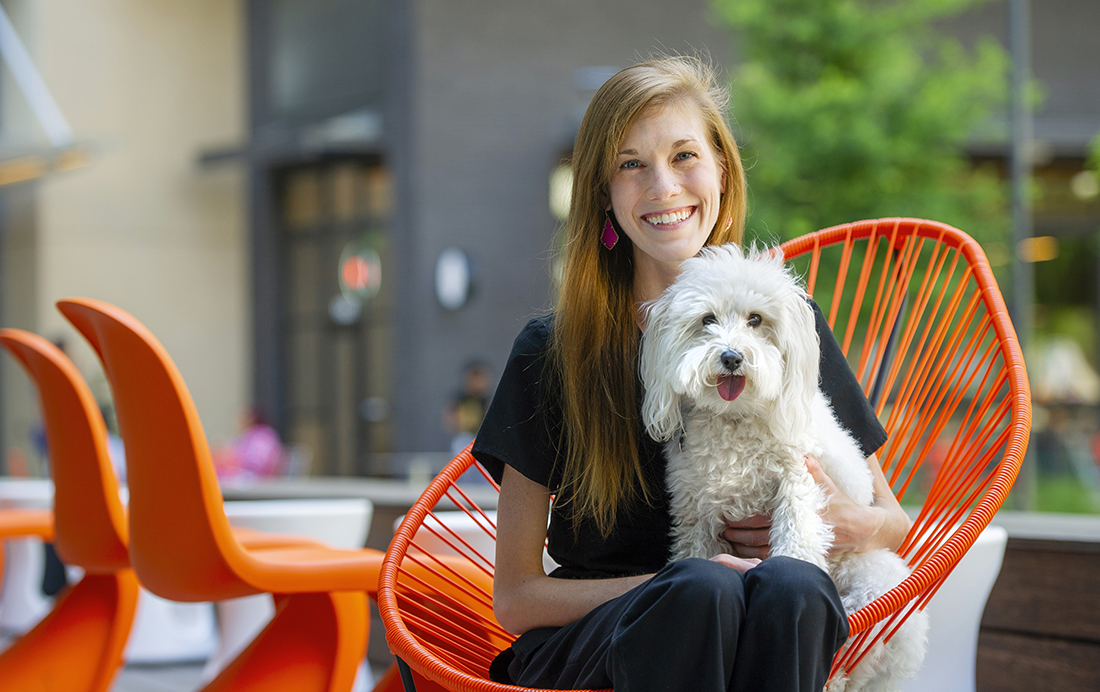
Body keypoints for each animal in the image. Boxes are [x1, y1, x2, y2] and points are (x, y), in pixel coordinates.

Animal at [638, 243, 928, 690]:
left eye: (756, 319)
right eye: (707, 320)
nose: (731, 357)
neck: (736, 418)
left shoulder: (798, 480)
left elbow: (797, 540)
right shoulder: (696, 507)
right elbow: (696, 553)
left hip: (875, 585)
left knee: (853, 656)